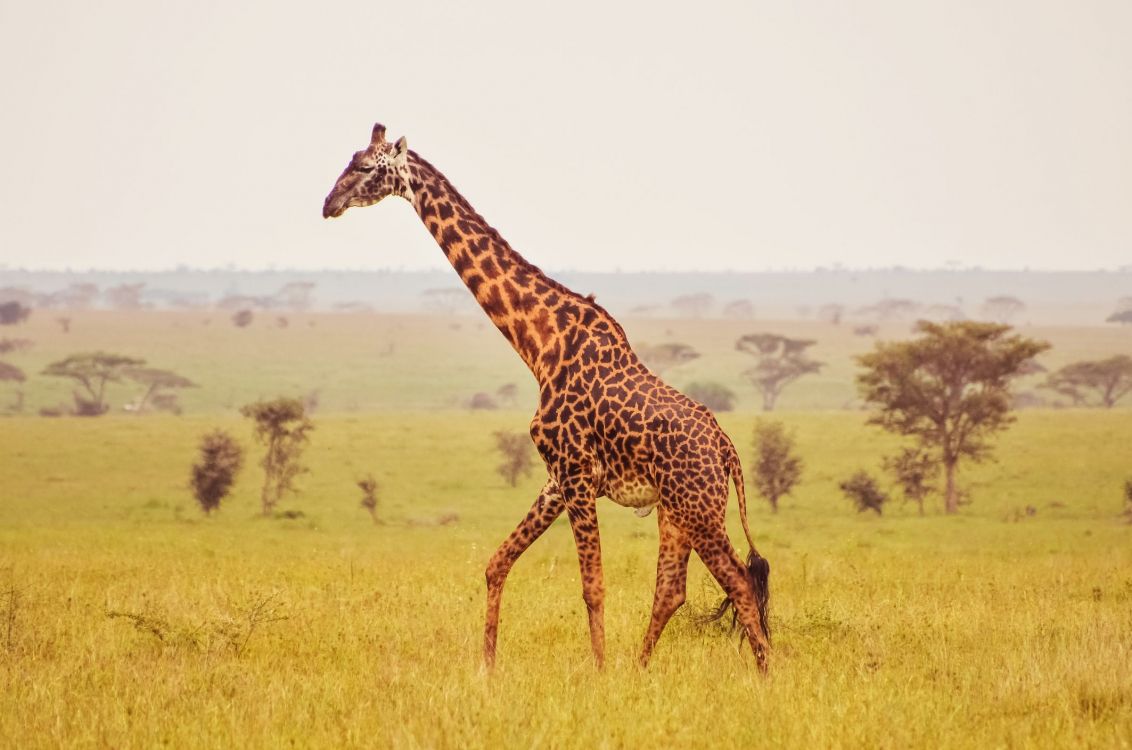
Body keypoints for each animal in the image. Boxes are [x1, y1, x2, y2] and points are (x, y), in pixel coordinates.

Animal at [323, 123, 771, 671]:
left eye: (366, 167)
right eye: (350, 158)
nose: (328, 203)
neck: (540, 343)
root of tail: (728, 451)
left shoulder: (576, 472)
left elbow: (592, 587)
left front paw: (598, 674)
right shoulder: (556, 478)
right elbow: (497, 563)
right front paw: (487, 668)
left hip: (699, 508)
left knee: (740, 581)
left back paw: (766, 674)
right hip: (676, 510)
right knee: (673, 588)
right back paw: (641, 670)